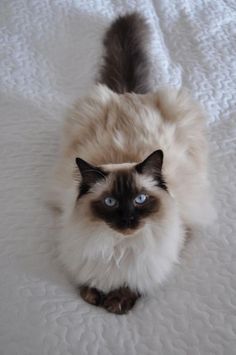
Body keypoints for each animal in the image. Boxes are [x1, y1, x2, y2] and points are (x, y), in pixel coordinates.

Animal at [50, 12, 216, 316]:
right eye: (111, 202)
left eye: (140, 199)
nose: (128, 219)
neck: (120, 246)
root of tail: (129, 94)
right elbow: (89, 282)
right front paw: (93, 294)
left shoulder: (172, 244)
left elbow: (135, 282)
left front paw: (117, 301)